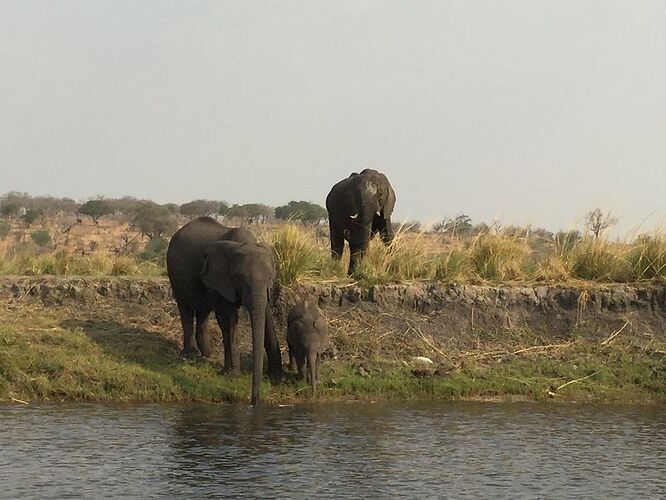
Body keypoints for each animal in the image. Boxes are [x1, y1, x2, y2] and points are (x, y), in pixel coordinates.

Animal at [167, 217, 282, 404]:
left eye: (271, 277)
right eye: (239, 278)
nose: (254, 402)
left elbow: (267, 317)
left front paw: (278, 378)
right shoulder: (221, 279)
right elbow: (228, 320)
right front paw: (232, 376)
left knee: (203, 311)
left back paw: (208, 354)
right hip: (175, 273)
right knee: (185, 308)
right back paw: (191, 355)